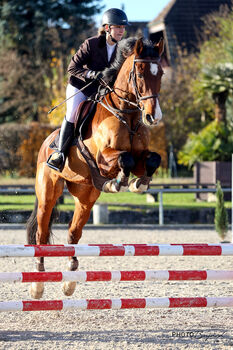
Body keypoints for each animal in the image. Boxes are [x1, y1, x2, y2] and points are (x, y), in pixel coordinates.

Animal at [26, 36, 164, 298]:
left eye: (160, 73)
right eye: (140, 73)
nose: (153, 117)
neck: (127, 114)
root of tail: (46, 142)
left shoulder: (141, 156)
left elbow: (152, 159)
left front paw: (139, 183)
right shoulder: (103, 158)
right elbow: (125, 159)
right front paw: (120, 182)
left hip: (86, 195)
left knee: (73, 232)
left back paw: (69, 281)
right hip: (49, 192)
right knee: (41, 233)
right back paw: (37, 284)